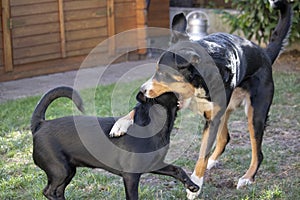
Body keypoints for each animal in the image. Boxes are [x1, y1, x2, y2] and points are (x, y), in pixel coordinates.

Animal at [31, 86, 199, 200]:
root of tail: (40, 124)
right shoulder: (131, 176)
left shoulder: (155, 164)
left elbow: (177, 170)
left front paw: (192, 186)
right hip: (60, 171)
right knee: (48, 191)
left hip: (69, 171)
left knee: (58, 191)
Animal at [109, 0, 292, 198]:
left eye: (164, 73)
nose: (141, 90)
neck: (198, 83)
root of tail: (264, 54)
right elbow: (137, 108)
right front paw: (120, 123)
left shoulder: (211, 119)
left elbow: (202, 154)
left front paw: (196, 182)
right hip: (225, 112)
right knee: (224, 138)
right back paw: (214, 161)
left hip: (255, 115)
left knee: (257, 152)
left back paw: (247, 177)